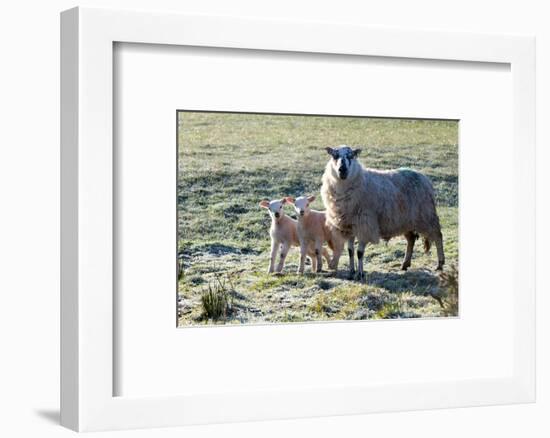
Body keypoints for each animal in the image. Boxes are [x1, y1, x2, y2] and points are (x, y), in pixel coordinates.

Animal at [322, 144, 446, 280]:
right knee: (411, 239)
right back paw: (405, 264)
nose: (342, 170)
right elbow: (350, 251)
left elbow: (360, 253)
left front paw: (360, 274)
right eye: (334, 155)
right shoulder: (348, 226)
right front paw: (351, 272)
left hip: (426, 216)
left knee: (438, 236)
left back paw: (440, 264)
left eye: (351, 156)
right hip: (406, 221)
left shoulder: (365, 225)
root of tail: (424, 178)